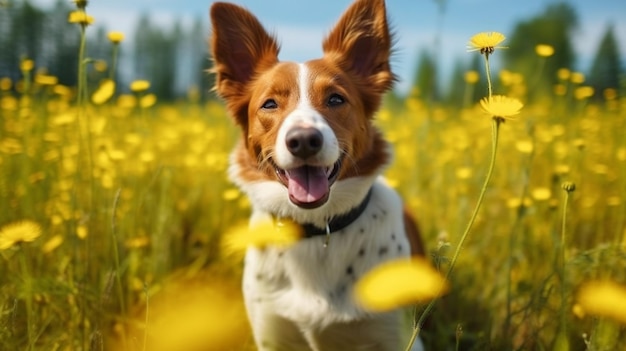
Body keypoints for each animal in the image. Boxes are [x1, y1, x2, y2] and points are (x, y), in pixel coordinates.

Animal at [210, 1, 424, 350]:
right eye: (269, 104)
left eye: (336, 99)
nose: (304, 140)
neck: (316, 229)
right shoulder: (271, 334)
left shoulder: (397, 337)